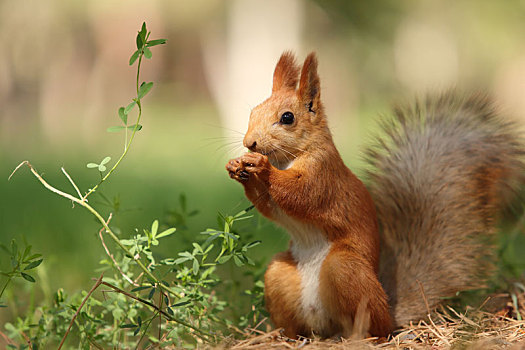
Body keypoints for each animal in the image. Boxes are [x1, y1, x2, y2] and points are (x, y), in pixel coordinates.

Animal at [224, 52, 524, 340]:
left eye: (287, 118)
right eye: (253, 111)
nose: (249, 143)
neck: (289, 159)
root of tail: (390, 311)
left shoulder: (324, 175)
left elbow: (300, 194)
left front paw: (262, 167)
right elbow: (270, 207)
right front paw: (237, 167)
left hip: (346, 270)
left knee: (375, 328)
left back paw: (358, 337)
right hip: (279, 275)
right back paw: (287, 337)